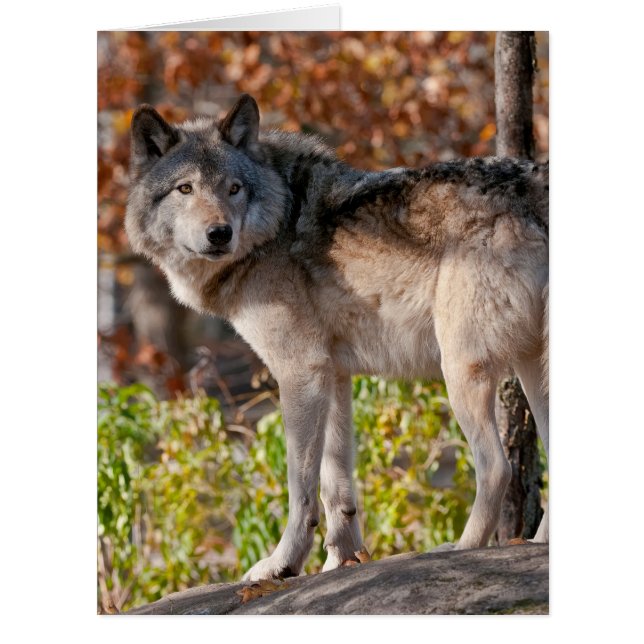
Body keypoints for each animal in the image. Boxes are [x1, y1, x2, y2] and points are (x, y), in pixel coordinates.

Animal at [125, 94, 549, 582]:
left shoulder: (300, 371)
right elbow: (335, 484)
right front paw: (338, 562)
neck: (278, 221)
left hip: (461, 369)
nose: (219, 234)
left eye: (233, 189)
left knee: (496, 467)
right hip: (531, 367)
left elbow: (300, 486)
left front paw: (282, 563)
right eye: (186, 189)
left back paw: (460, 550)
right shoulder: (334, 374)